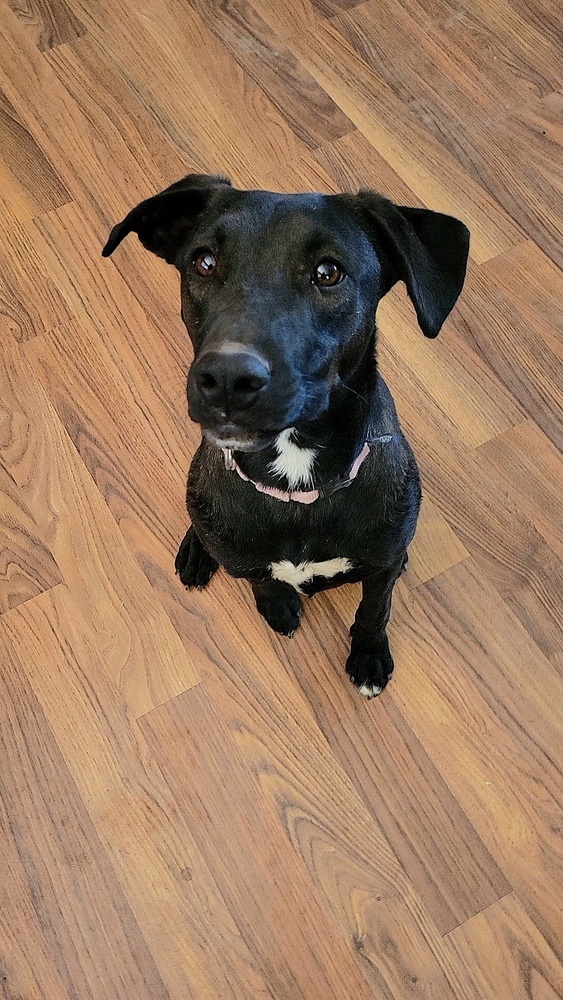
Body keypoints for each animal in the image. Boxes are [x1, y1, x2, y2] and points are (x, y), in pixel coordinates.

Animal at [102, 174, 472, 696]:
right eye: (204, 262)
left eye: (329, 272)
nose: (227, 378)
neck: (298, 483)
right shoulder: (246, 555)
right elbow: (261, 579)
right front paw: (277, 605)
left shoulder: (381, 565)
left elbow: (374, 609)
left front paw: (369, 657)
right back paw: (197, 551)